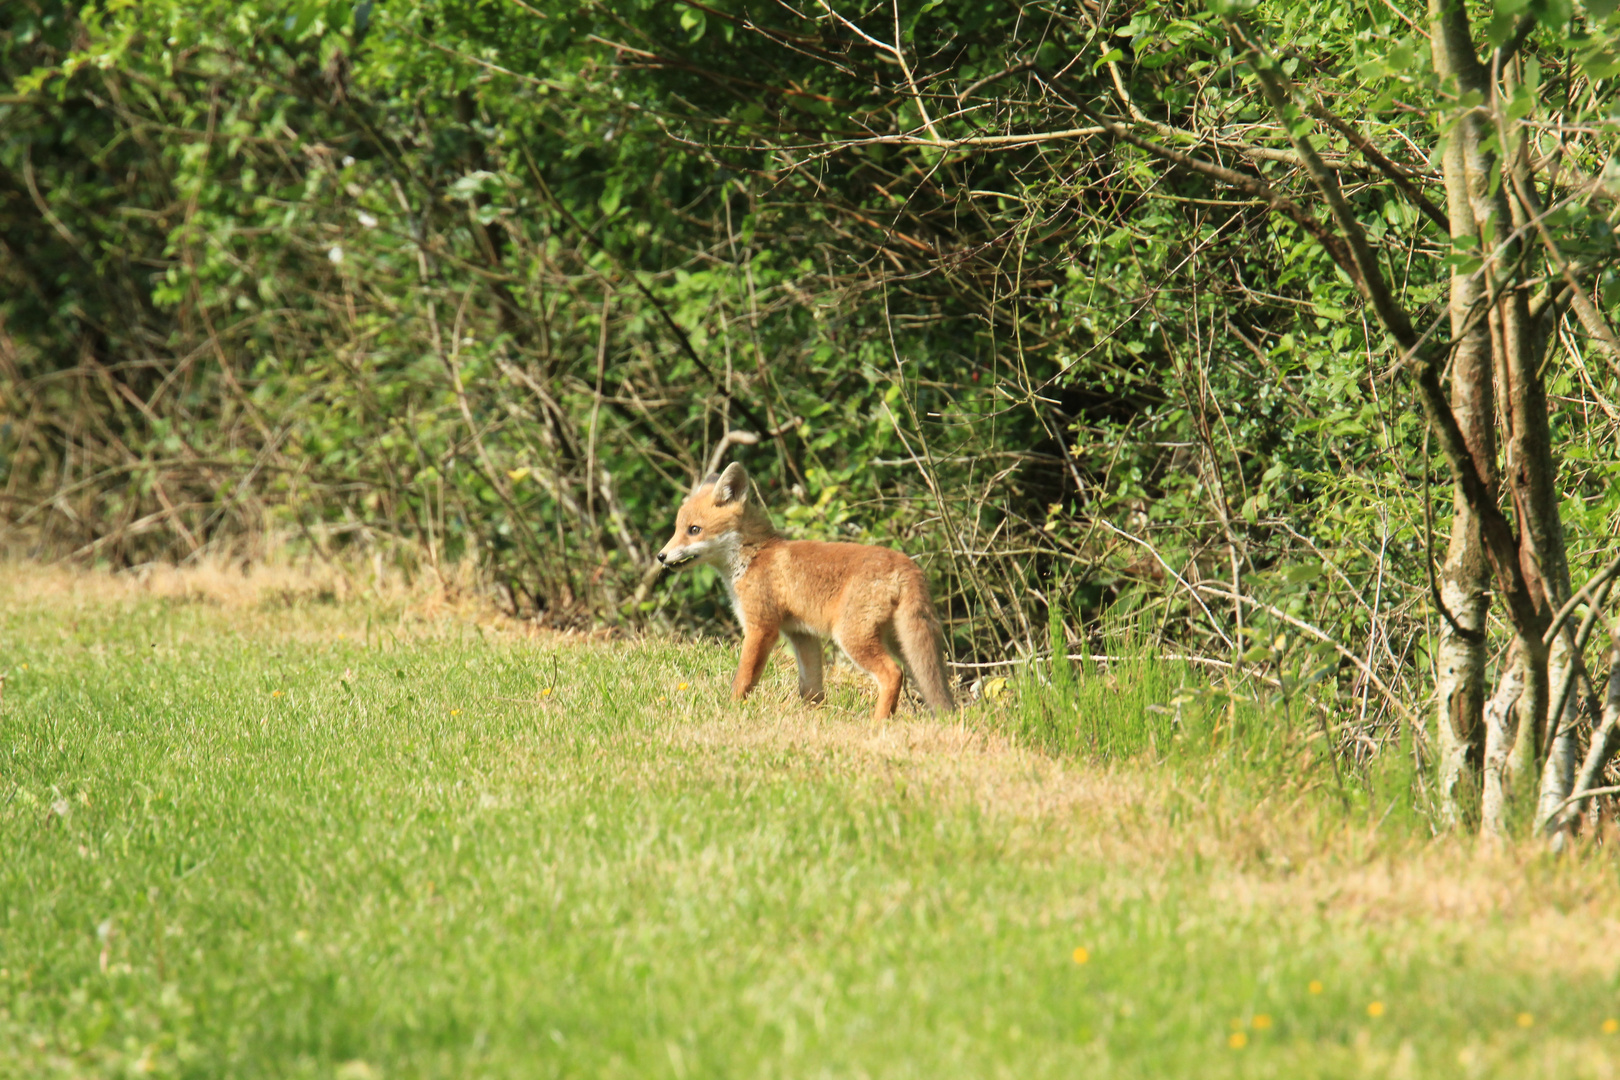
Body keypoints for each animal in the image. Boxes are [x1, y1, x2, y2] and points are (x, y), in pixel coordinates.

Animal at [657, 463, 952, 722]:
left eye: (694, 530)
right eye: (676, 529)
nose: (661, 556)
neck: (753, 557)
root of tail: (907, 564)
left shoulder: (761, 627)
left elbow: (743, 679)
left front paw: (731, 709)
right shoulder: (802, 635)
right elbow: (811, 690)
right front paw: (813, 718)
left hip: (852, 638)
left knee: (892, 674)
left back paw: (878, 724)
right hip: (902, 644)